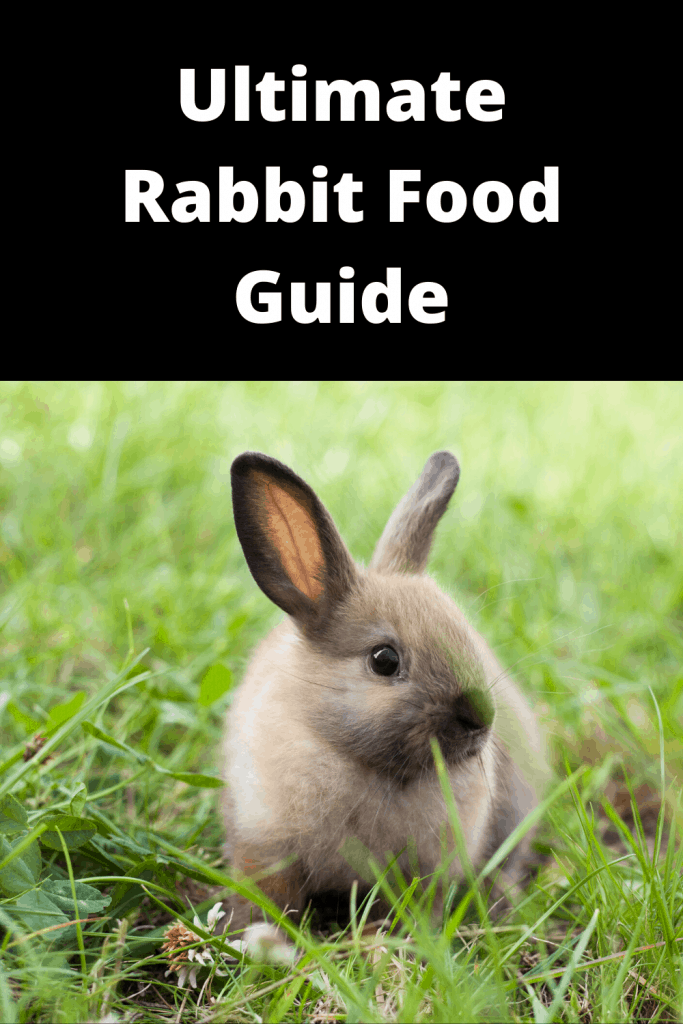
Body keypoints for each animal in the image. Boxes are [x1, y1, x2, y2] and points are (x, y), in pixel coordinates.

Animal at [219, 450, 549, 955]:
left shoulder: (425, 871)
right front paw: (261, 936)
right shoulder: (265, 847)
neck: (363, 763)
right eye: (384, 660)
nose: (480, 719)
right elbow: (270, 896)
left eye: (468, 637)